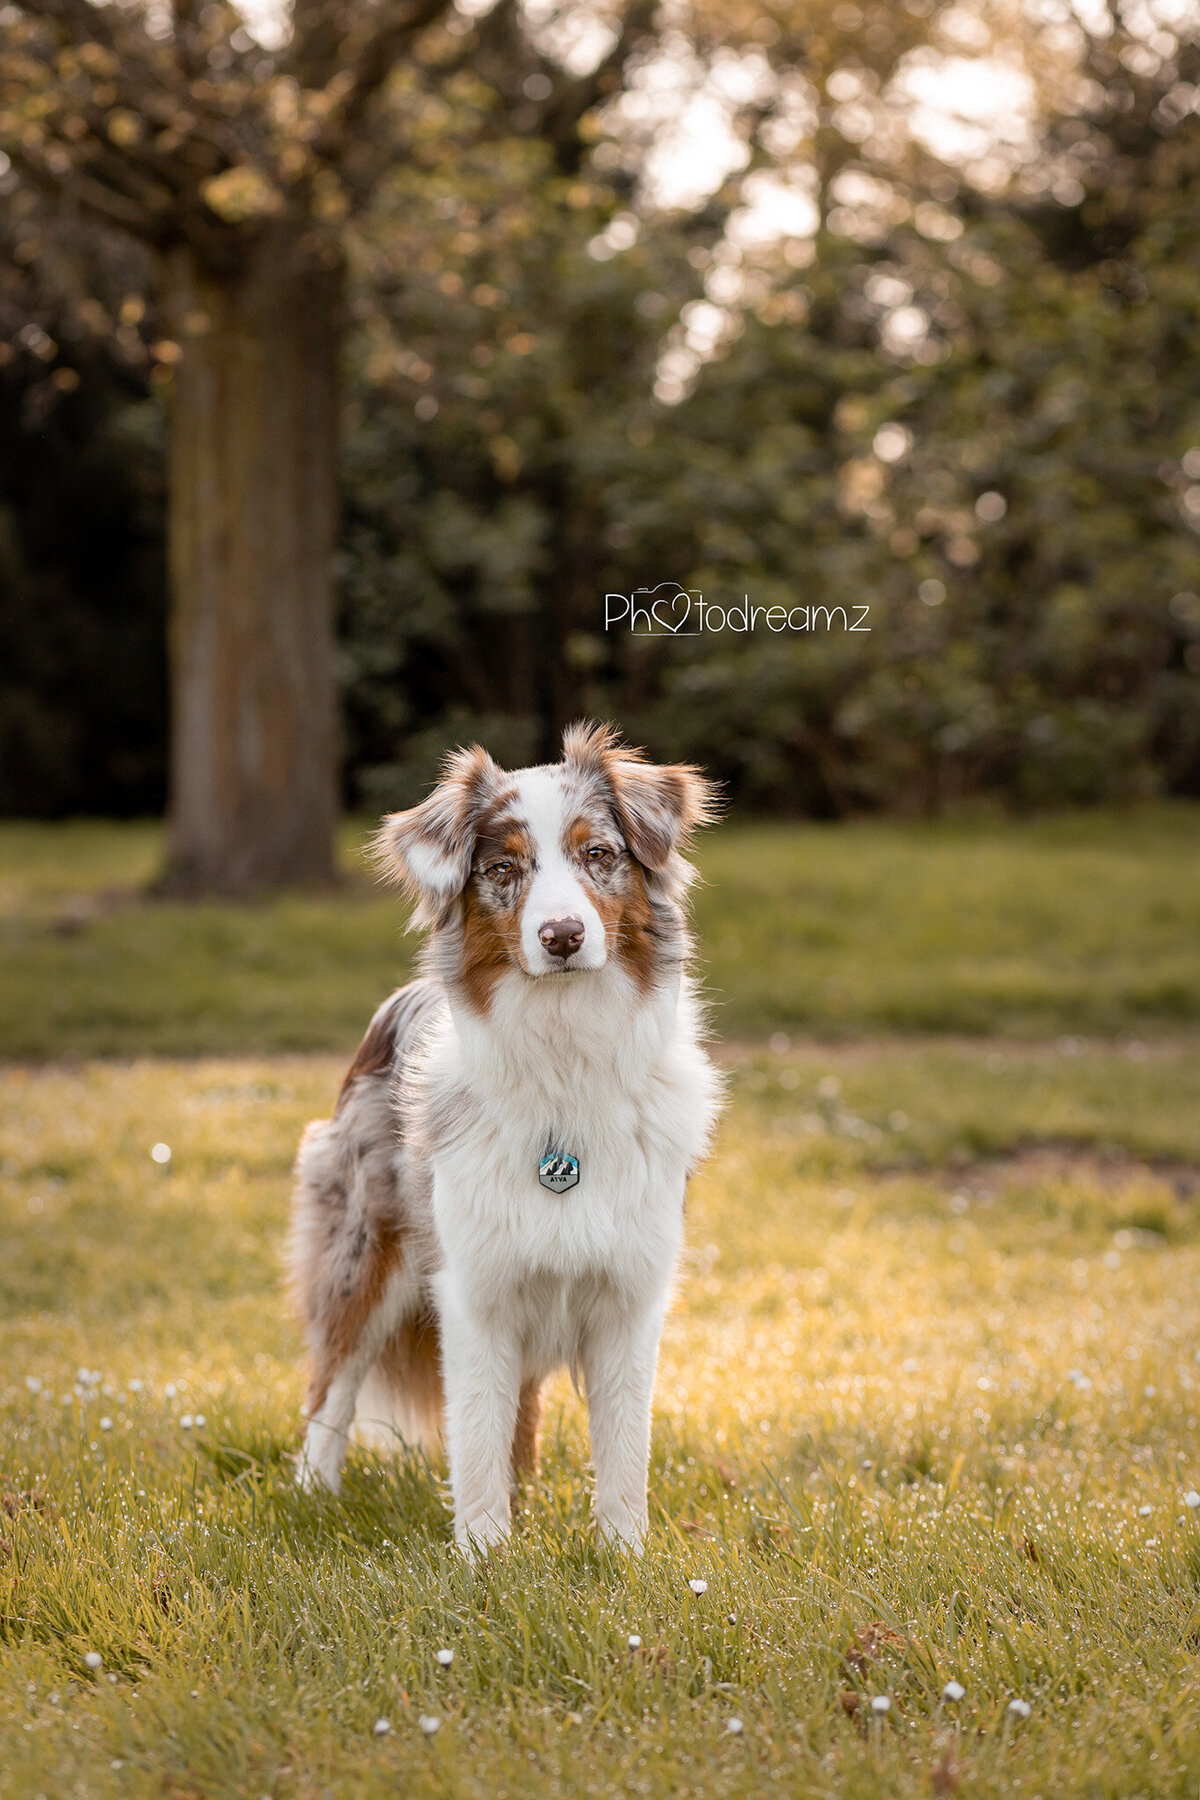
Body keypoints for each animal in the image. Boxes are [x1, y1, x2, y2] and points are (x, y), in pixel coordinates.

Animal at [291, 716, 723, 1548]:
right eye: (503, 868)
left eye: (599, 855)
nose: (561, 935)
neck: (565, 1057)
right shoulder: (475, 1291)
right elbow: (476, 1436)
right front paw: (484, 1554)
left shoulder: (628, 1292)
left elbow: (624, 1447)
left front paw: (623, 1555)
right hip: (365, 1251)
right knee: (333, 1382)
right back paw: (311, 1494)